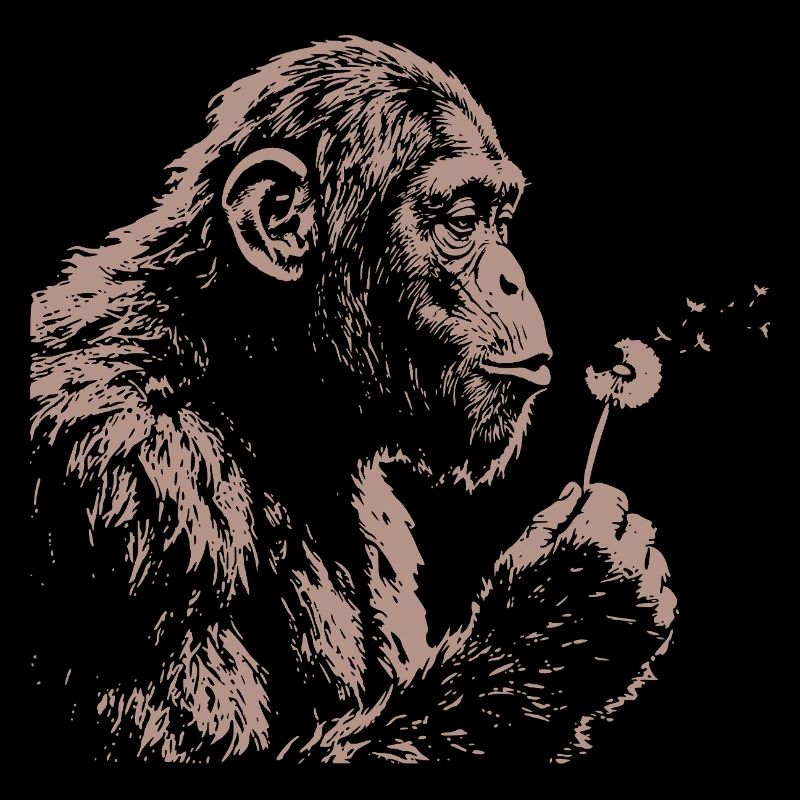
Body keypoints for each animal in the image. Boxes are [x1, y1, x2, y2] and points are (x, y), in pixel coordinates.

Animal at [30, 37, 676, 764]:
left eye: (500, 220)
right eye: (461, 222)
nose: (513, 279)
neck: (257, 379)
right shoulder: (140, 481)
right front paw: (565, 610)